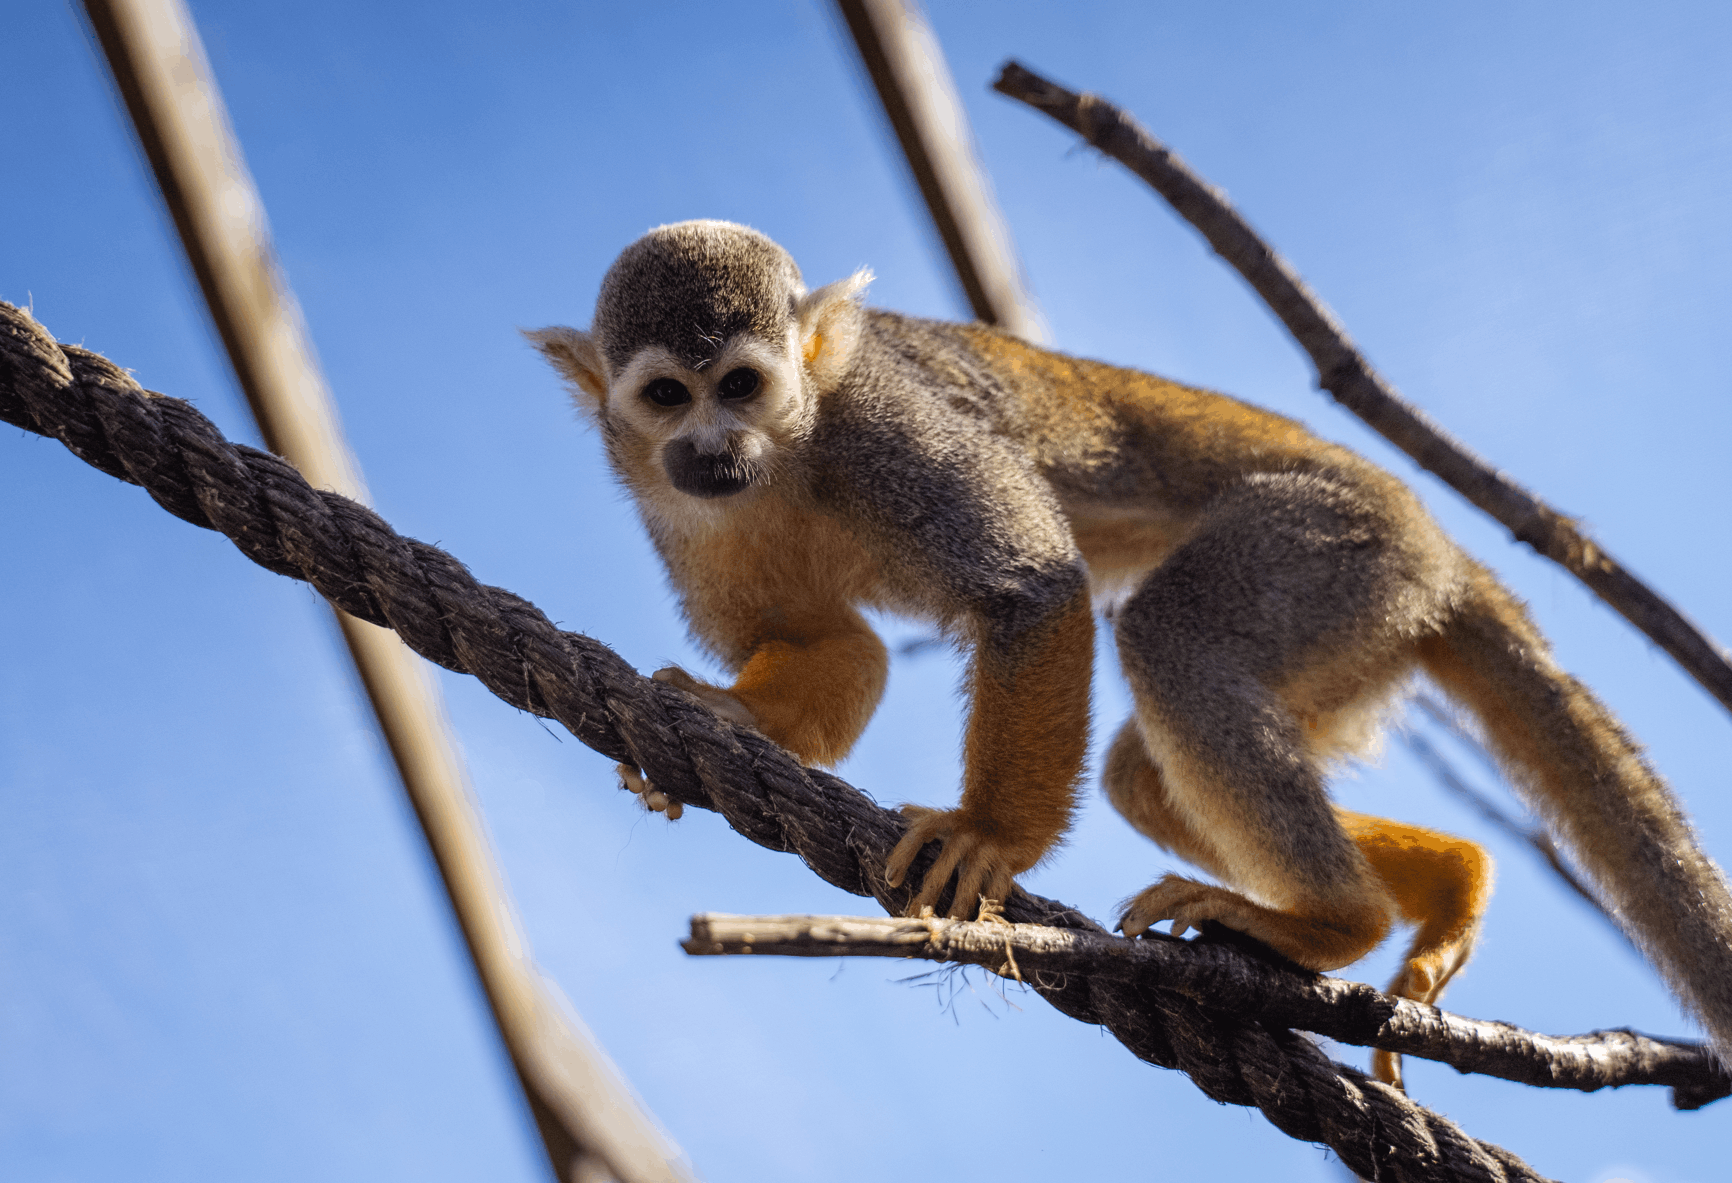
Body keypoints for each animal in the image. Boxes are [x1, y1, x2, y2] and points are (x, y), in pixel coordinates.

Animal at [529, 219, 1732, 1085]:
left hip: (1335, 551)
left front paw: (987, 835)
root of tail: (1440, 541)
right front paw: (725, 715)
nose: (710, 448)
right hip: (1360, 625)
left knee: (1170, 640)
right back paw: (1444, 878)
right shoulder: (675, 508)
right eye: (666, 395)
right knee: (1143, 774)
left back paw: (1334, 923)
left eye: (740, 383)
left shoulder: (882, 429)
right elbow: (831, 643)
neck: (786, 455)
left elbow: (1035, 585)